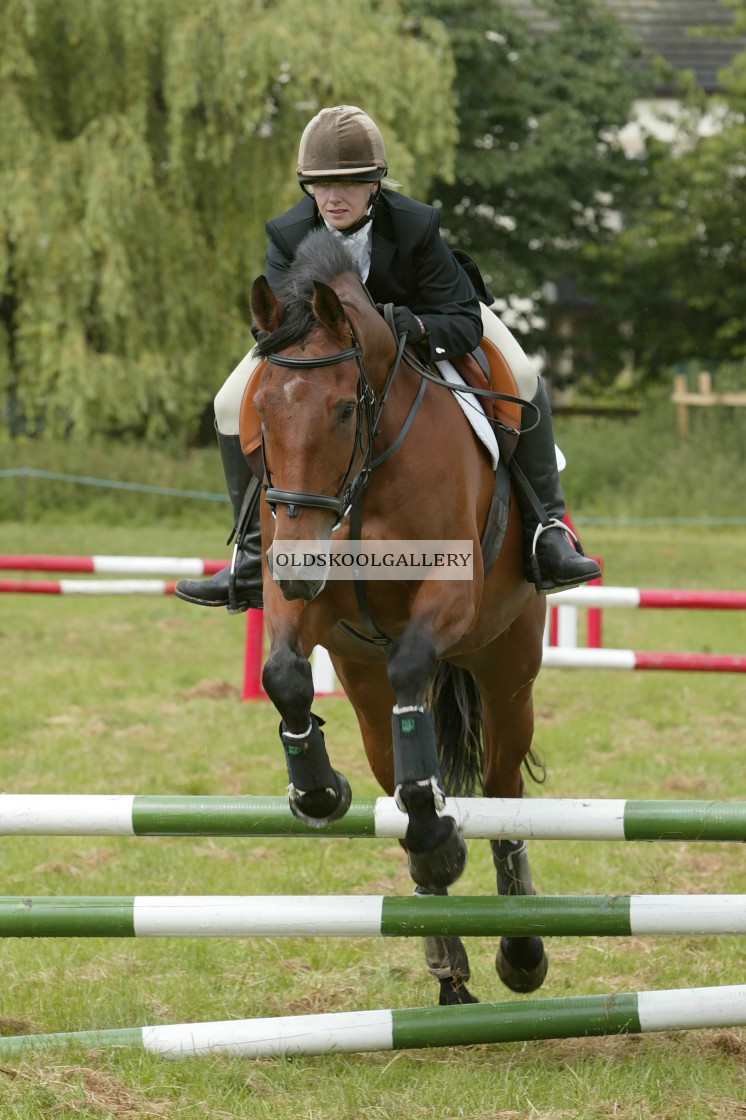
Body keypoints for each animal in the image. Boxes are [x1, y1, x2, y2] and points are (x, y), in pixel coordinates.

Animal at [243, 229, 546, 1008]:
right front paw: (318, 790)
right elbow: (284, 675)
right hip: (362, 677)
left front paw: (441, 841)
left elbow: (416, 665)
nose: (302, 563)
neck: (368, 474)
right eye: (261, 414)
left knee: (502, 790)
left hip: (507, 670)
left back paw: (521, 946)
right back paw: (446, 957)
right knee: (393, 768)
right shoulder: (305, 594)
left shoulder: (450, 592)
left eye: (345, 410)